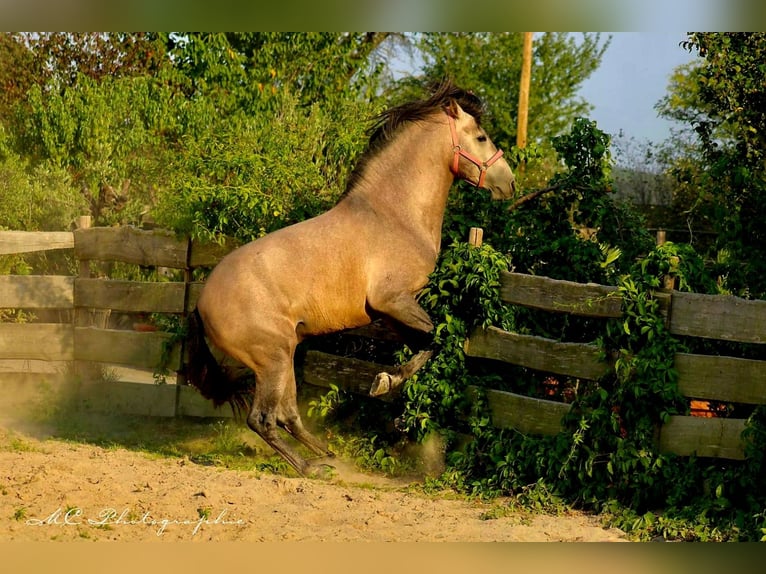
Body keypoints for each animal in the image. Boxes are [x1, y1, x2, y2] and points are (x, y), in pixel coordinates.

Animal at [189, 81, 520, 476]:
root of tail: (201, 305)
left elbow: (426, 344)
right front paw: (384, 384)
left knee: (287, 415)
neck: (395, 215)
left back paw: (328, 455)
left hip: (287, 353)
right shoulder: (393, 300)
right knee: (264, 419)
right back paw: (309, 467)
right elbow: (435, 340)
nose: (510, 183)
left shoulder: (392, 314)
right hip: (272, 357)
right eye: (481, 136)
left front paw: (385, 383)